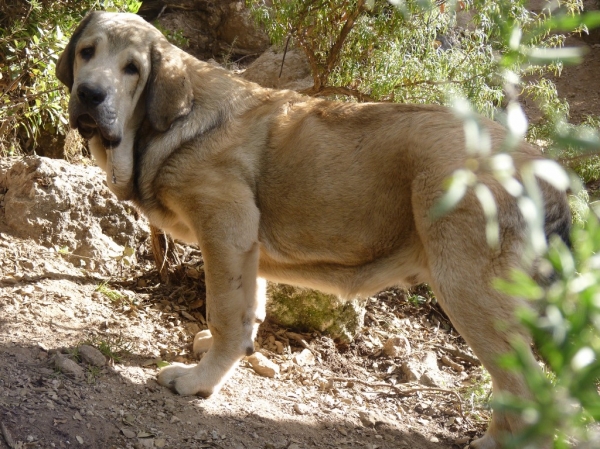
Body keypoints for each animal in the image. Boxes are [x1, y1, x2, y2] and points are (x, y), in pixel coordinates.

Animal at [55, 11, 568, 448]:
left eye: (132, 69)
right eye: (87, 52)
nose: (90, 95)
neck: (168, 124)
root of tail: (540, 167)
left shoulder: (226, 228)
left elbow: (225, 313)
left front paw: (200, 380)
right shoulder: (245, 249)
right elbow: (249, 311)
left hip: (467, 289)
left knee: (528, 391)